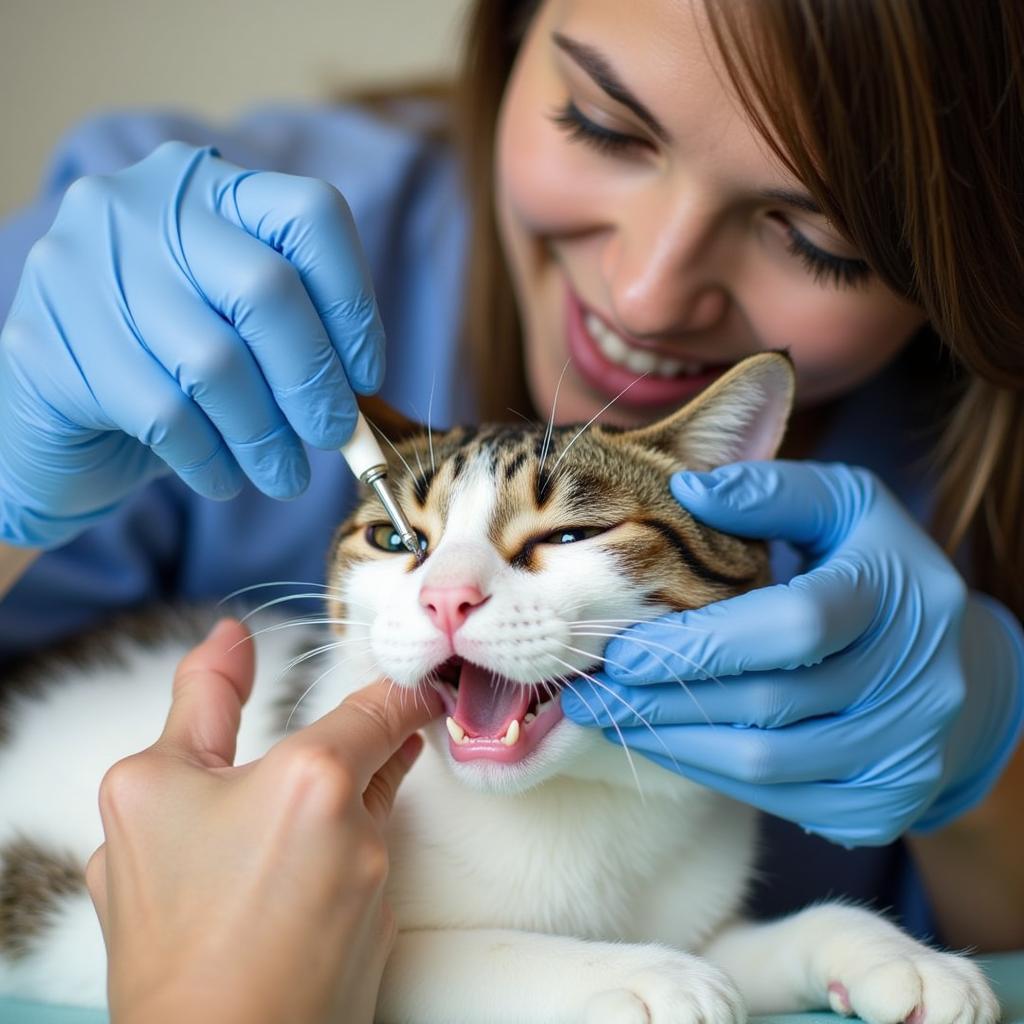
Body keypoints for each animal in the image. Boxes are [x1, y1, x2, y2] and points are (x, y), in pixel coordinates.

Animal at [0, 354, 995, 1024]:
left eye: (568, 538)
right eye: (397, 541)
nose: (446, 597)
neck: (563, 812)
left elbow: (744, 940)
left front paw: (890, 952)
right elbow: (457, 953)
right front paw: (631, 973)